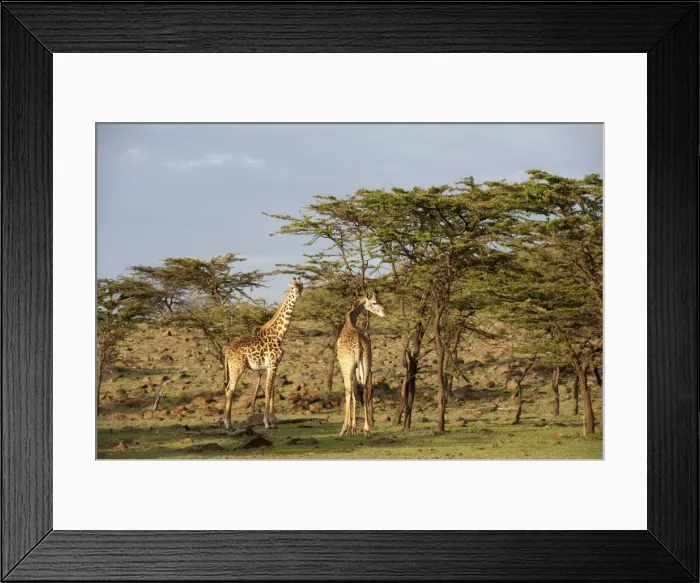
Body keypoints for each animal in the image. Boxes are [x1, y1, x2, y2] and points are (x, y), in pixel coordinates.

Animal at [222, 277, 303, 430]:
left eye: (301, 287)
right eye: (292, 288)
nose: (298, 293)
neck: (279, 335)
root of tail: (227, 352)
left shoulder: (274, 365)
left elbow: (271, 391)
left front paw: (272, 421)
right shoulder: (272, 364)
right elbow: (267, 389)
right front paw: (266, 422)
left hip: (233, 368)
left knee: (227, 389)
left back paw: (227, 422)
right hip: (237, 368)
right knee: (230, 390)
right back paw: (228, 424)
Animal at [337, 290, 386, 437]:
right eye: (375, 302)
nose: (384, 312)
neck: (350, 321)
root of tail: (359, 345)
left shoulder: (349, 365)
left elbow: (351, 390)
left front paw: (349, 428)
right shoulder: (358, 366)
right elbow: (356, 390)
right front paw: (353, 428)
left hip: (346, 365)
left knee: (348, 389)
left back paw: (343, 429)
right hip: (365, 361)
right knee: (364, 388)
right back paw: (366, 428)